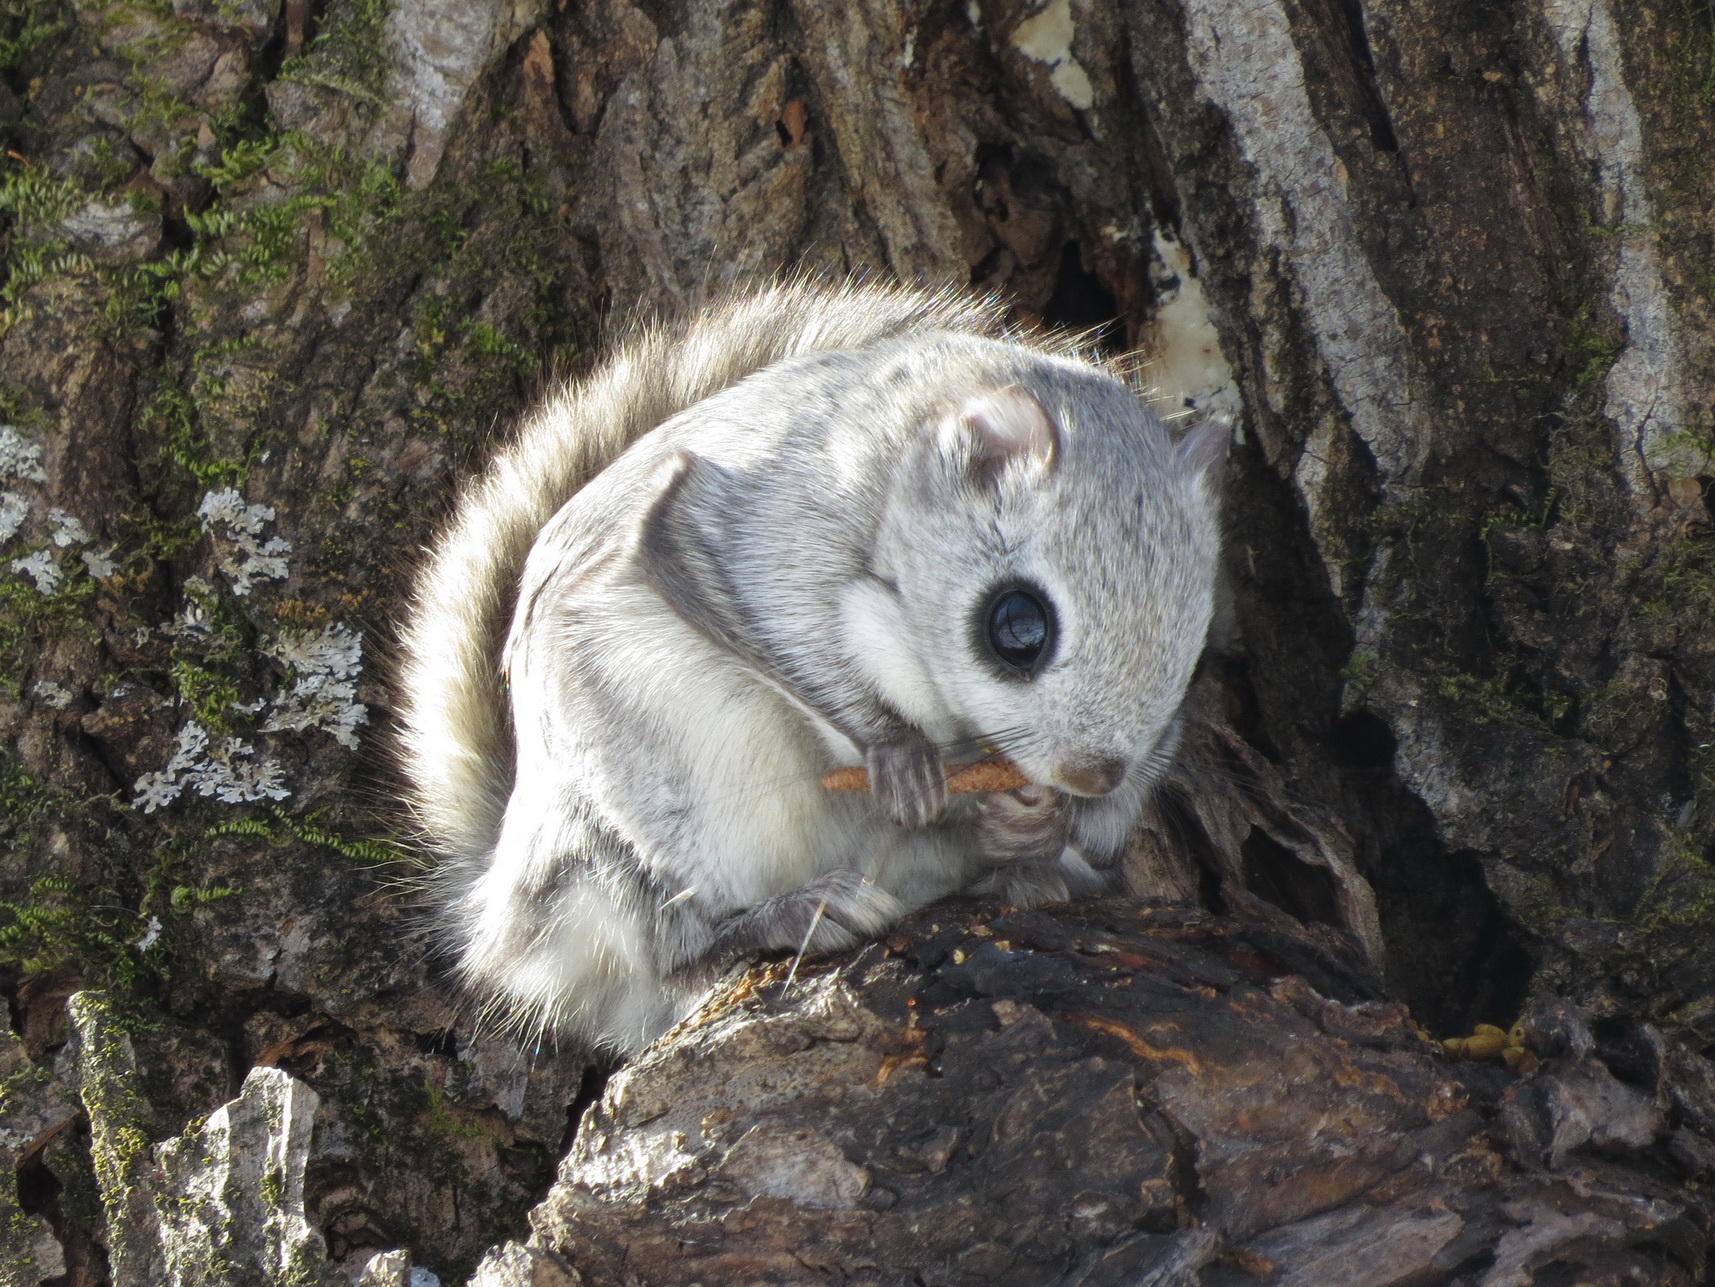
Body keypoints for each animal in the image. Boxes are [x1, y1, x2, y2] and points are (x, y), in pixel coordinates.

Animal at [394, 277, 1227, 1050]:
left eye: (1195, 651)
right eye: (1016, 626)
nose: (1094, 776)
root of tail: (504, 905)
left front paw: (1034, 819)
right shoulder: (762, 535)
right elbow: (776, 636)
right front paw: (899, 760)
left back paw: (1027, 870)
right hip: (657, 803)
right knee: (672, 958)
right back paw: (788, 917)